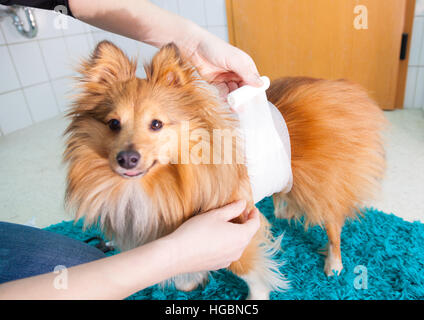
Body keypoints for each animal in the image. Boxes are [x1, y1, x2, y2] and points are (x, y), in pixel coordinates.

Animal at [64, 40, 386, 300]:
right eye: (113, 123)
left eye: (156, 124)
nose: (127, 158)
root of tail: (338, 87)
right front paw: (189, 279)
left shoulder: (235, 225)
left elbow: (248, 269)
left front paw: (257, 295)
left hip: (320, 188)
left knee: (333, 224)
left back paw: (334, 263)